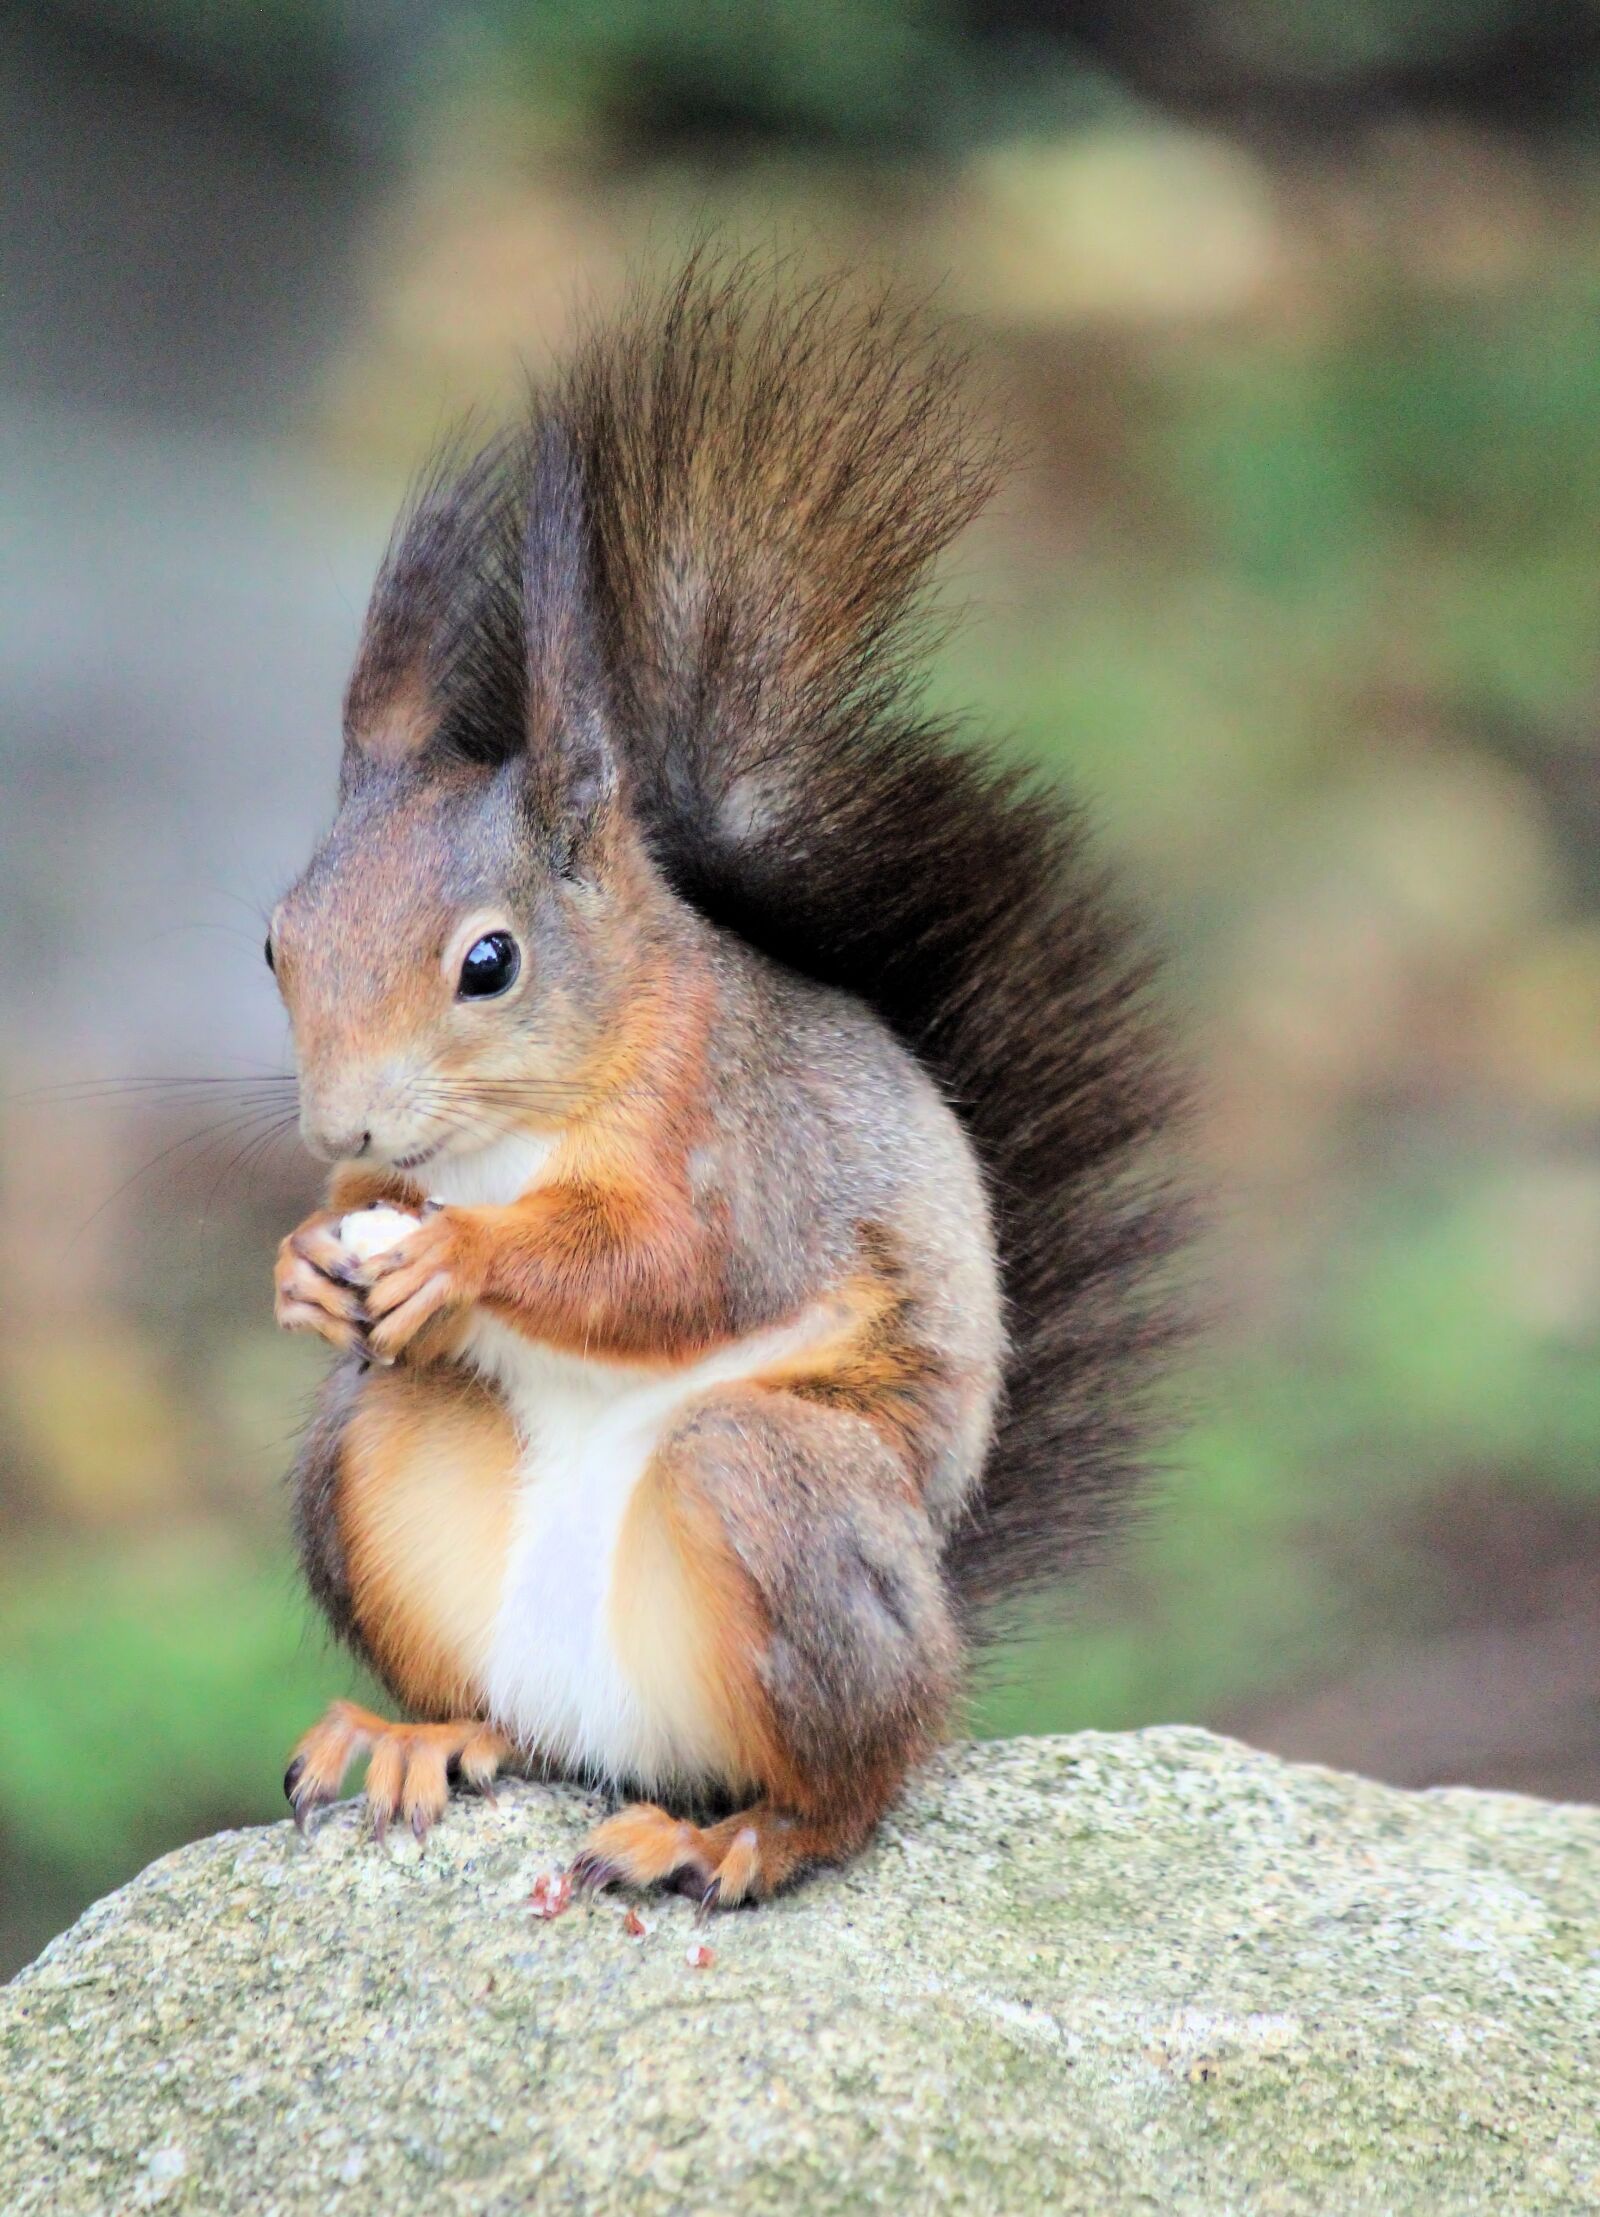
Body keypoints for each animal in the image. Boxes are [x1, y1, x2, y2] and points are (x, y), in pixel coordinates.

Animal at [269, 261, 1183, 1910]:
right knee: (492, 1696)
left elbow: (684, 1266)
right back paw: (418, 1735)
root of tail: (623, 1737)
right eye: (274, 940)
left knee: (857, 1785)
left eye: (489, 962)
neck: (517, 1129)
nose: (343, 1120)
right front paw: (313, 1255)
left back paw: (739, 1837)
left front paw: (462, 1254)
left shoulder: (742, 1139)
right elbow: (370, 1212)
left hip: (780, 1497)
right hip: (375, 1459)